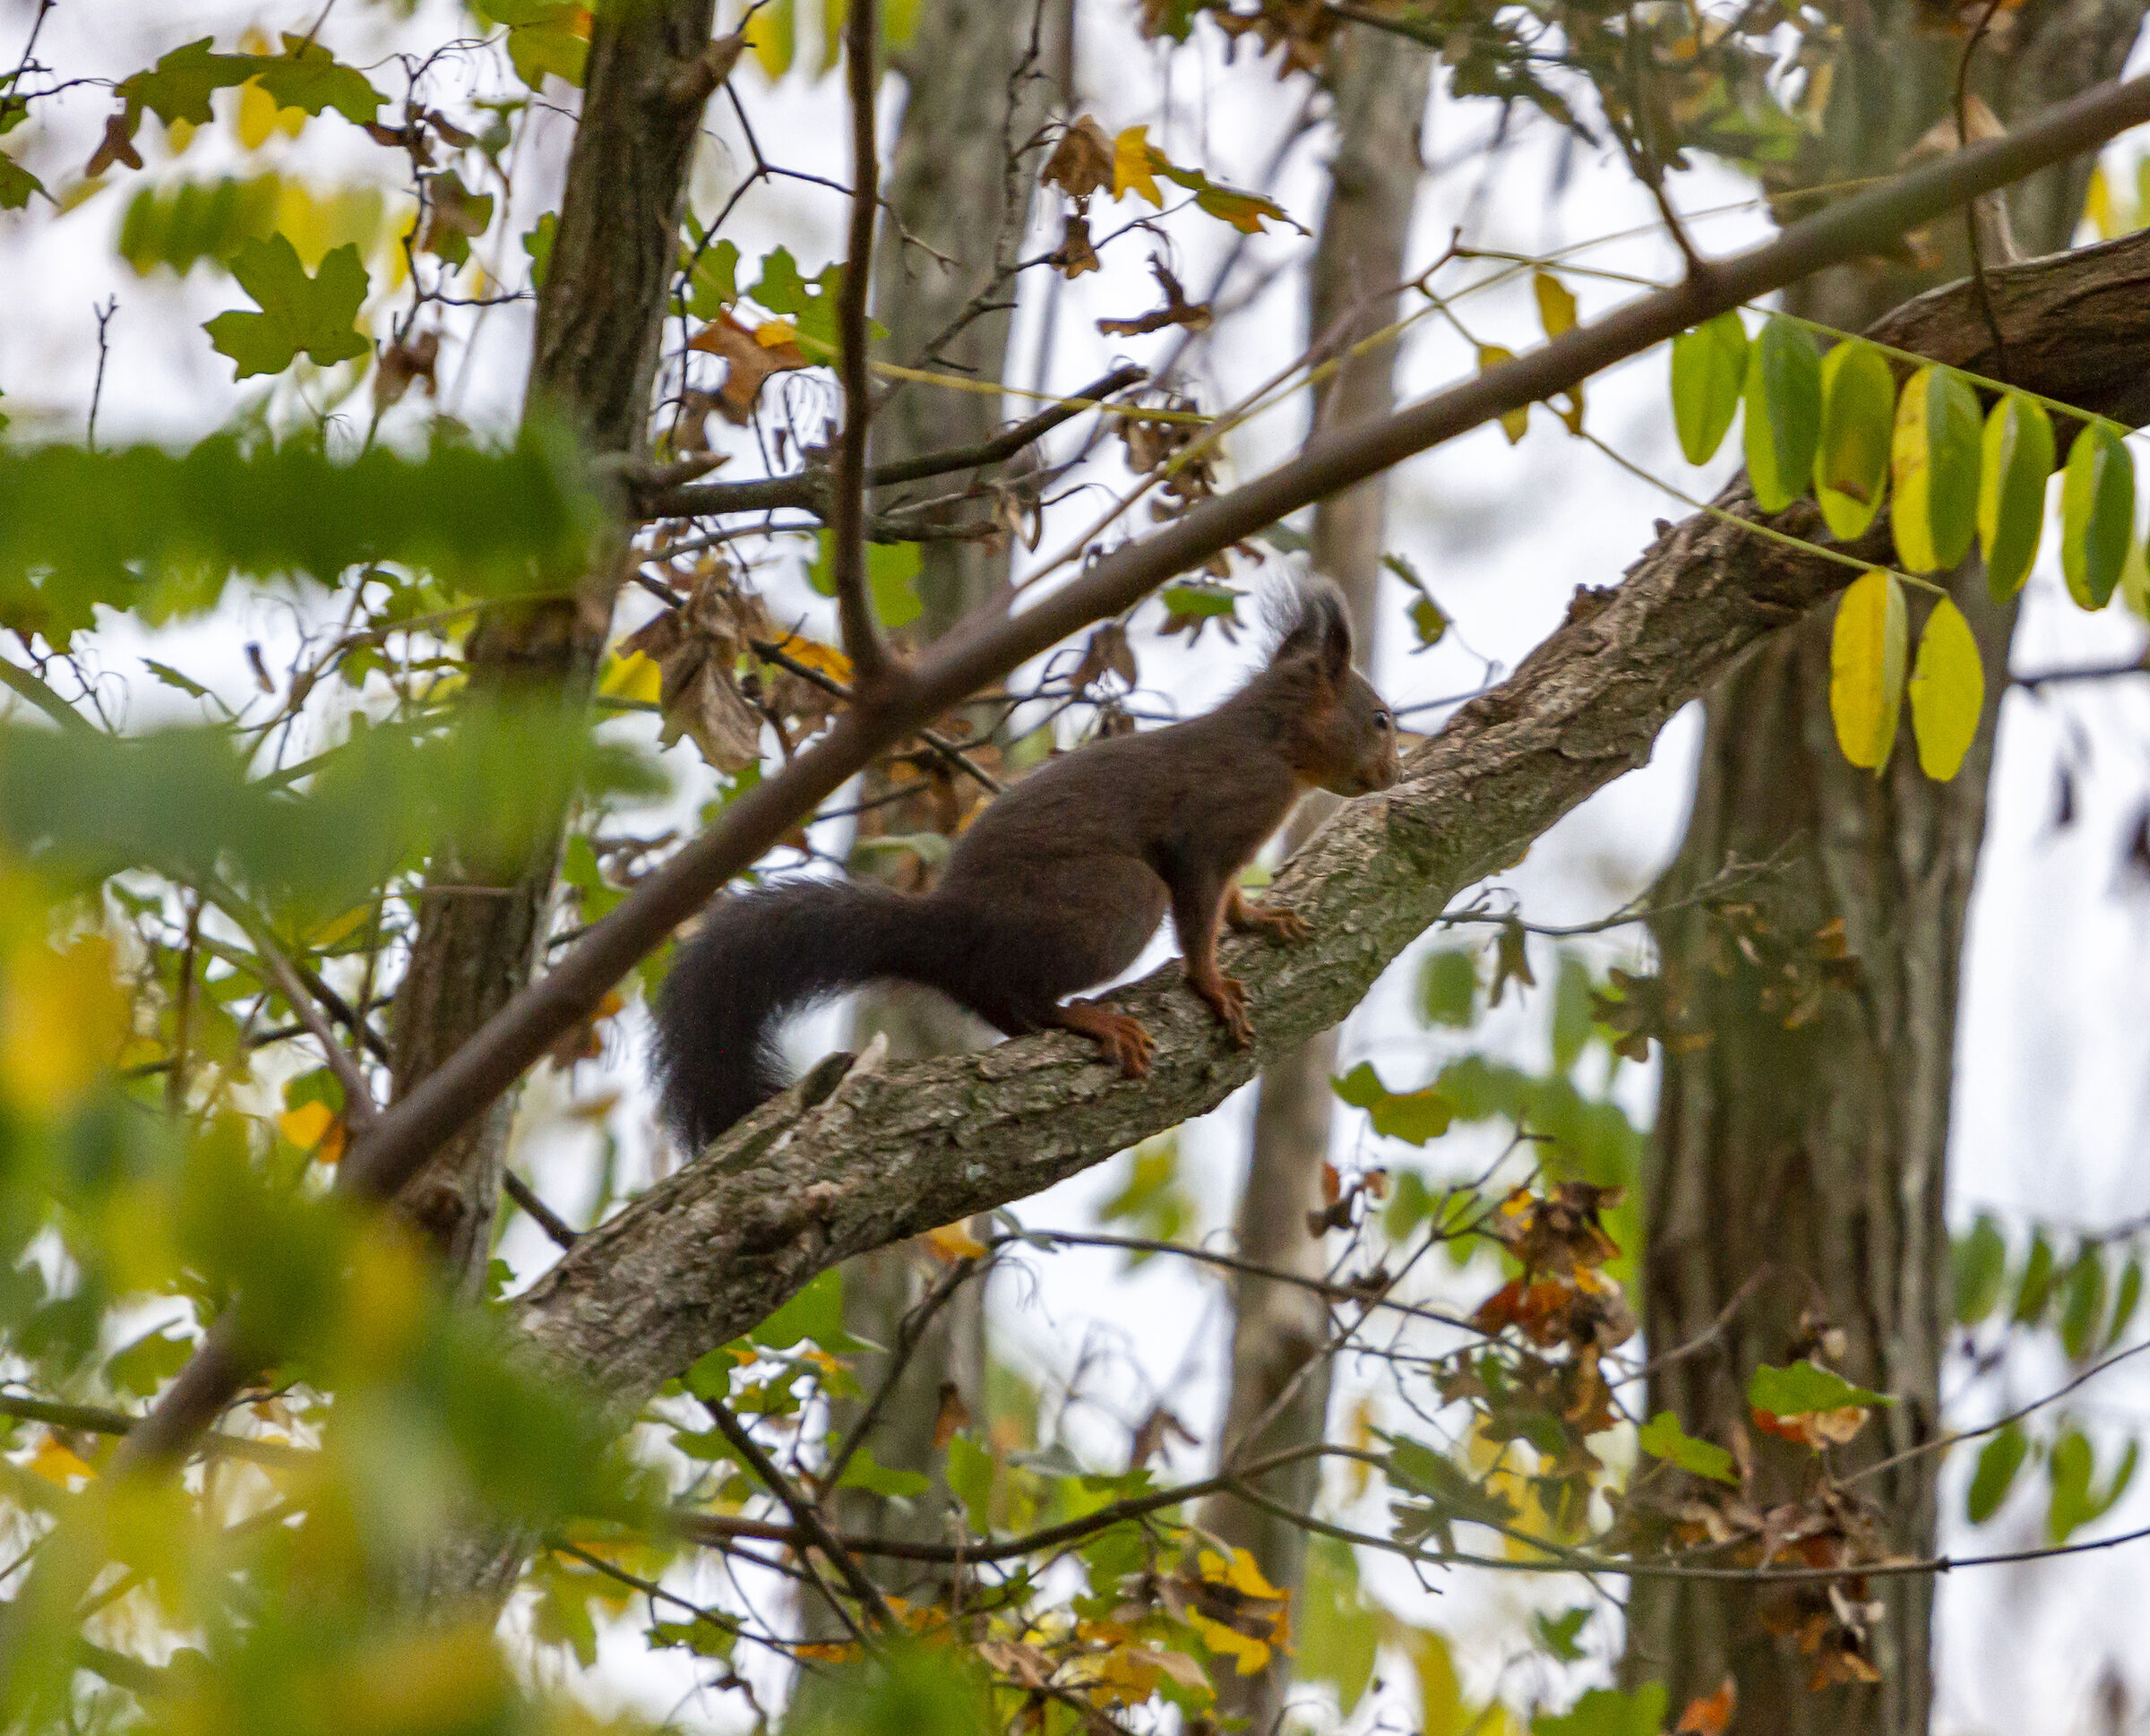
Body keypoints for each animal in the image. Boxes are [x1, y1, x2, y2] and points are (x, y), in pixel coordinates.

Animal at [651, 576, 1400, 1150]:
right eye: (1382, 720)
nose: (1393, 773)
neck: (1275, 744)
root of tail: (948, 927)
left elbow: (1230, 900)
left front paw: (1261, 917)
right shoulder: (1210, 827)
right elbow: (1196, 912)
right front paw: (1212, 984)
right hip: (1116, 897)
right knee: (1018, 996)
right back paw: (1088, 1020)